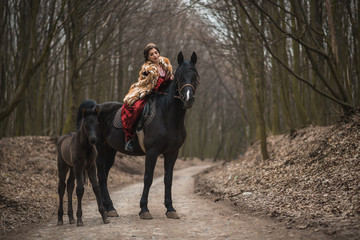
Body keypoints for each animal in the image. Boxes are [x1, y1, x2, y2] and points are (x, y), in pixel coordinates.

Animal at [94, 52, 198, 219]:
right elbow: (148, 178)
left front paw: (170, 208)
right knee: (102, 175)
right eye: (180, 76)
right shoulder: (152, 152)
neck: (167, 116)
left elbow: (168, 179)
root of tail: (97, 108)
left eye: (194, 75)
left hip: (110, 149)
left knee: (104, 173)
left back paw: (109, 207)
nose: (188, 99)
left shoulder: (172, 153)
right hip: (99, 148)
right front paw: (144, 209)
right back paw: (108, 208)